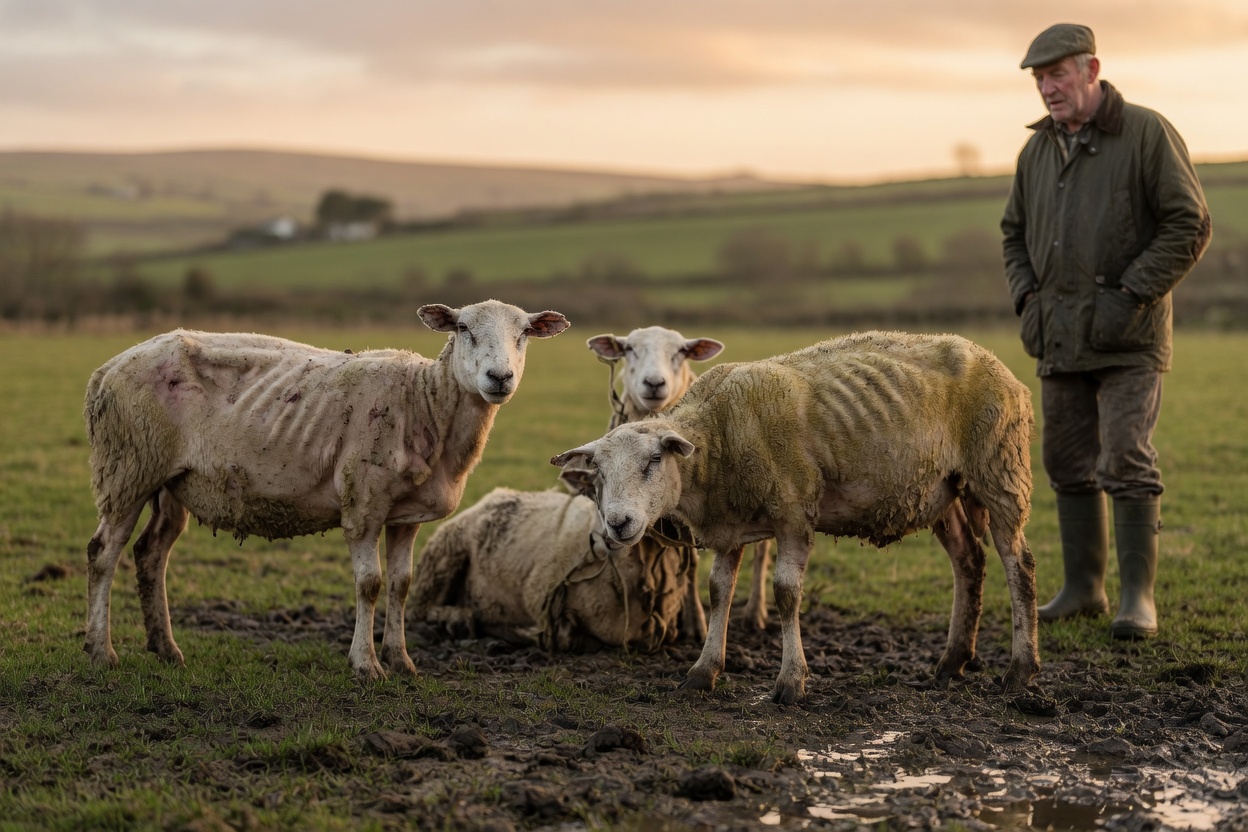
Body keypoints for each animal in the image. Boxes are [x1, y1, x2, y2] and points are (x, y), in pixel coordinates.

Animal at [82, 299, 569, 680]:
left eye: (524, 334)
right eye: (464, 328)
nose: (499, 377)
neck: (424, 401)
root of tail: (106, 368)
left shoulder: (405, 516)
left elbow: (401, 585)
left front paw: (401, 660)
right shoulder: (363, 502)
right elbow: (370, 584)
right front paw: (366, 664)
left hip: (171, 481)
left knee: (151, 552)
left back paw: (166, 649)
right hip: (129, 466)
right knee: (104, 552)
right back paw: (101, 652)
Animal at [409, 487, 691, 652]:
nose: (616, 527)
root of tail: (490, 497)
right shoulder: (540, 593)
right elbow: (566, 637)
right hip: (445, 555)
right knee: (421, 610)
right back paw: (458, 621)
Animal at [588, 327, 775, 633]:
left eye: (680, 352)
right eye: (629, 349)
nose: (654, 383)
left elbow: (691, 565)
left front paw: (696, 622)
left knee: (762, 552)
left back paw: (755, 612)